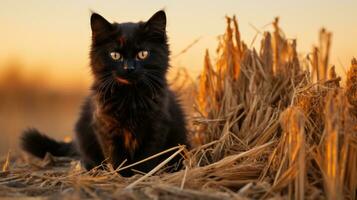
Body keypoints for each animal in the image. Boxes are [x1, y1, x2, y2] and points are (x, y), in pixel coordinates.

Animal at [21, 10, 189, 177]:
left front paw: (140, 174)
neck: (130, 97)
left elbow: (146, 158)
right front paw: (121, 175)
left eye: (143, 54)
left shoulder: (156, 126)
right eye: (115, 55)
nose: (129, 68)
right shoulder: (106, 127)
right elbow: (116, 157)